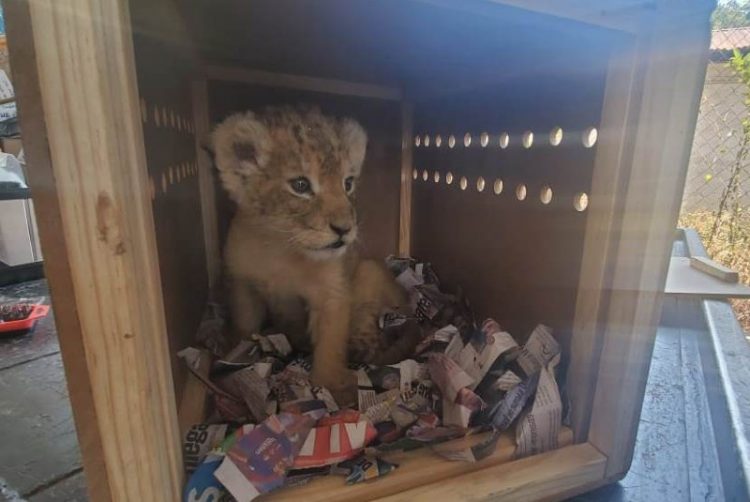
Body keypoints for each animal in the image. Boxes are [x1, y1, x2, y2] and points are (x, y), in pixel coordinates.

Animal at [212, 106, 420, 403]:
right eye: (300, 185)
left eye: (348, 183)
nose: (345, 229)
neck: (282, 248)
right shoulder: (243, 285)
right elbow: (244, 324)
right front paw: (234, 352)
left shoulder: (332, 293)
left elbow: (330, 346)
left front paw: (331, 388)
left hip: (369, 273)